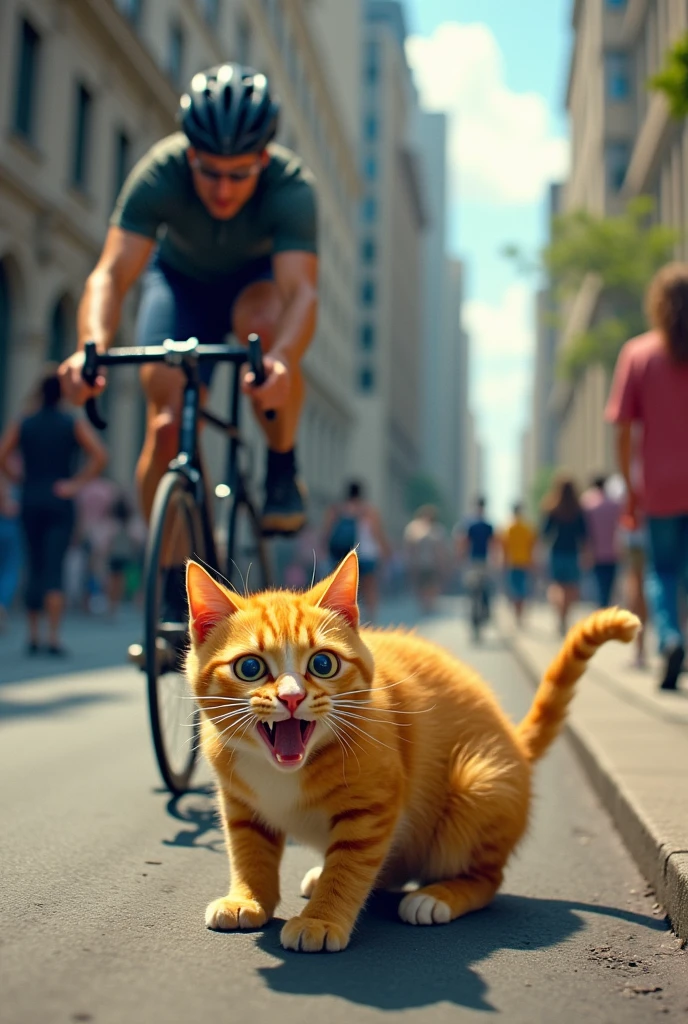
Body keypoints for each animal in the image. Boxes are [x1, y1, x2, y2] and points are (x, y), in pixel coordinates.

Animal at [186, 552, 638, 950]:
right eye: (250, 668)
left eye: (322, 664)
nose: (292, 697)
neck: (284, 771)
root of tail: (514, 741)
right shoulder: (239, 803)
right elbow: (249, 851)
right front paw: (248, 899)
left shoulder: (373, 806)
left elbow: (349, 864)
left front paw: (321, 919)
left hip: (479, 783)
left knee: (487, 878)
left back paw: (437, 896)